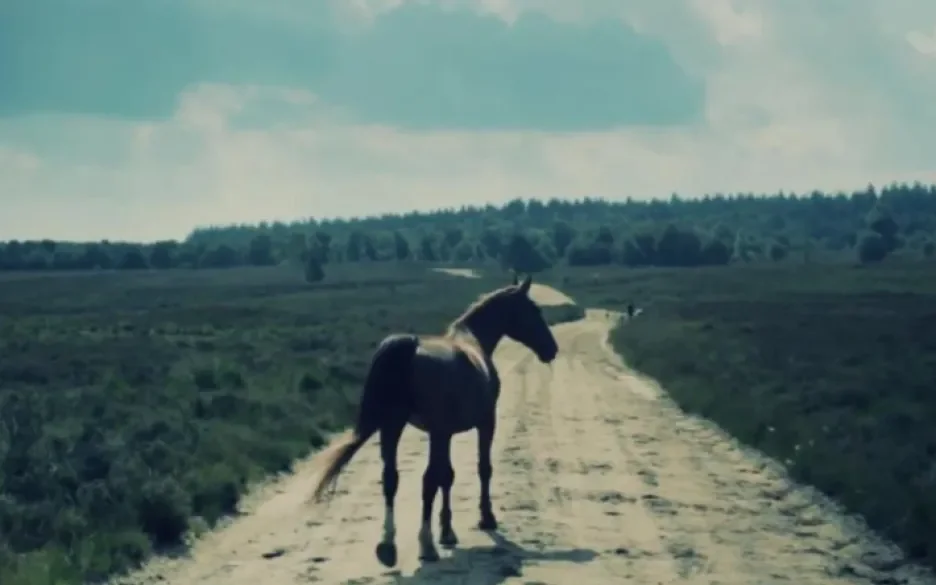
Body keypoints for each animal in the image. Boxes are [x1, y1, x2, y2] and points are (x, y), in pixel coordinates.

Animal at [308, 272, 556, 564]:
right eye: (534, 310)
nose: (552, 348)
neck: (472, 341)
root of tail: (408, 347)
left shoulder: (445, 433)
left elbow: (447, 475)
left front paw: (447, 531)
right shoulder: (483, 423)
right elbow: (479, 469)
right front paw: (485, 518)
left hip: (393, 426)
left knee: (391, 478)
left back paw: (388, 545)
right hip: (429, 431)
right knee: (426, 480)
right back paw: (425, 544)